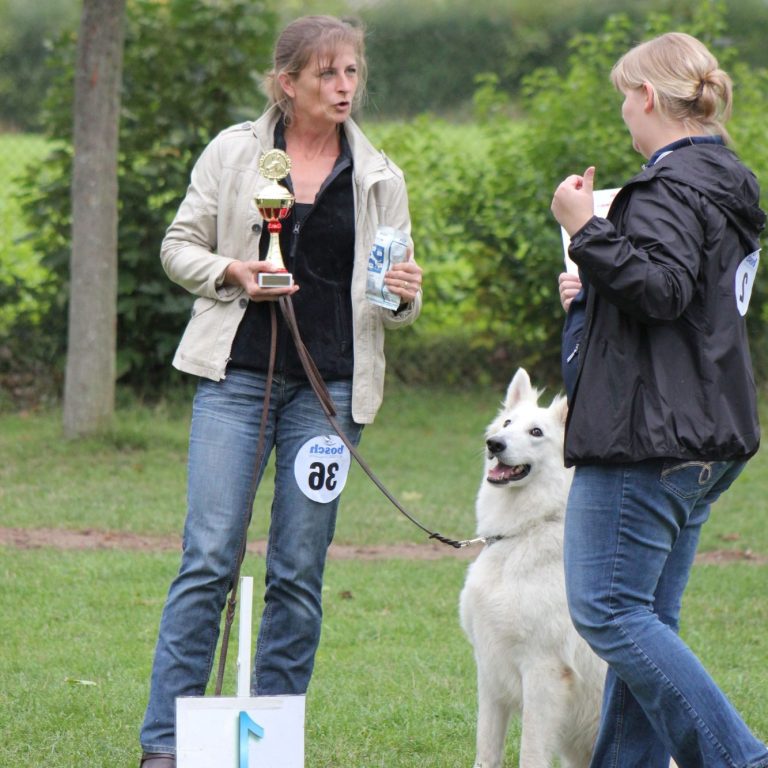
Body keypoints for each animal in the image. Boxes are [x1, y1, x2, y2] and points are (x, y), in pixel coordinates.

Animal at [460, 368, 608, 764]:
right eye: (507, 423)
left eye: (536, 432)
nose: (494, 443)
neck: (522, 533)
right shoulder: (489, 672)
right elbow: (485, 749)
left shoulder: (543, 673)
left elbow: (530, 753)